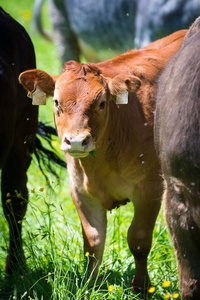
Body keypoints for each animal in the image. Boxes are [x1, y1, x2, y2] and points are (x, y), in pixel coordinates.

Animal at [19, 29, 187, 292]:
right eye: (56, 102)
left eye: (101, 103)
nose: (77, 141)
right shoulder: (80, 189)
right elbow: (93, 241)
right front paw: (90, 284)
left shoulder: (149, 188)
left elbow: (139, 240)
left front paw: (141, 286)